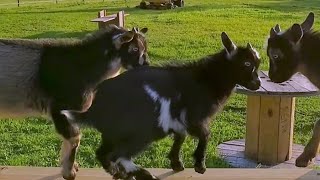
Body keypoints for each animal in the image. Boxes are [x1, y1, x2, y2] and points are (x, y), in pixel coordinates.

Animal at [0, 24, 149, 180]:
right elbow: (75, 138)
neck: (81, 69)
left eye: (145, 48)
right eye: (134, 49)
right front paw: (69, 172)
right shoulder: (60, 109)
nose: (147, 65)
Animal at [61, 32, 262, 180]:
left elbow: (180, 137)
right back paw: (142, 174)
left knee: (103, 153)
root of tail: (96, 107)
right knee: (120, 154)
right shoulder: (194, 118)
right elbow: (205, 135)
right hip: (141, 131)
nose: (257, 83)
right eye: (247, 63)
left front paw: (176, 163)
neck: (207, 79)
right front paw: (199, 165)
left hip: (112, 134)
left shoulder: (177, 119)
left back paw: (119, 173)